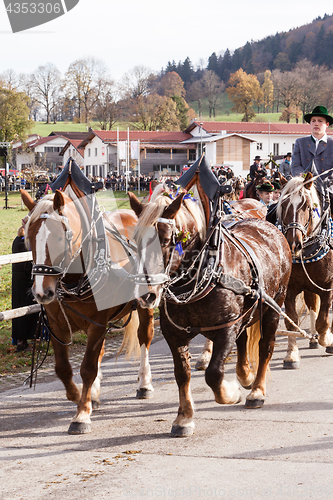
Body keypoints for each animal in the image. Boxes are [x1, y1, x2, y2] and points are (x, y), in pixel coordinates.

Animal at [20, 188, 154, 434]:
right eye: (28, 238)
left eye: (59, 237)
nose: (42, 292)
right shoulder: (57, 325)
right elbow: (63, 369)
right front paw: (80, 396)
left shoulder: (97, 323)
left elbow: (88, 368)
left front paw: (82, 413)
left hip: (146, 302)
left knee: (144, 337)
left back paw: (144, 384)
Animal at [129, 186, 290, 436]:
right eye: (135, 240)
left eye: (165, 240)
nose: (146, 294)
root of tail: (267, 225)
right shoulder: (173, 333)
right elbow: (182, 374)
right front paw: (184, 417)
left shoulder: (226, 327)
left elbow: (214, 373)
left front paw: (231, 393)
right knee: (243, 340)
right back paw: (245, 375)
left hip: (273, 307)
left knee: (266, 347)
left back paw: (256, 390)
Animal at [274, 174, 332, 370]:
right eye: (283, 205)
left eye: (307, 206)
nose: (293, 244)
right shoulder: (289, 289)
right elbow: (291, 321)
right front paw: (291, 355)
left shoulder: (328, 286)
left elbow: (324, 320)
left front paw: (327, 339)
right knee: (311, 303)